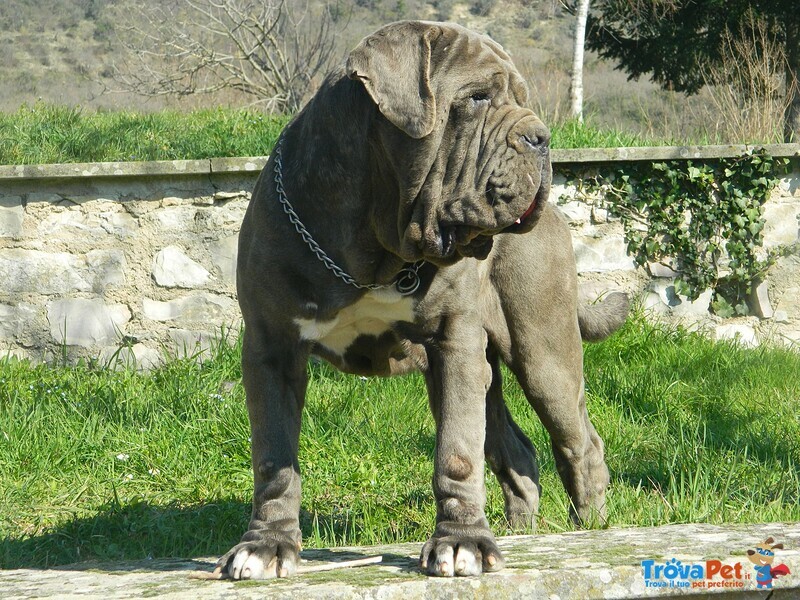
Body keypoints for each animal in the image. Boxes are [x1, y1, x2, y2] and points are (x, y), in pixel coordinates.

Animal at [217, 21, 624, 580]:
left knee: (579, 441)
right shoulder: (271, 349)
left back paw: (591, 528)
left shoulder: (454, 345)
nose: (541, 138)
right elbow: (273, 458)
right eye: (476, 99)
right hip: (489, 365)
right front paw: (266, 544)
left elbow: (456, 452)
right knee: (516, 449)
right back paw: (521, 531)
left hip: (543, 351)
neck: (374, 247)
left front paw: (462, 543)